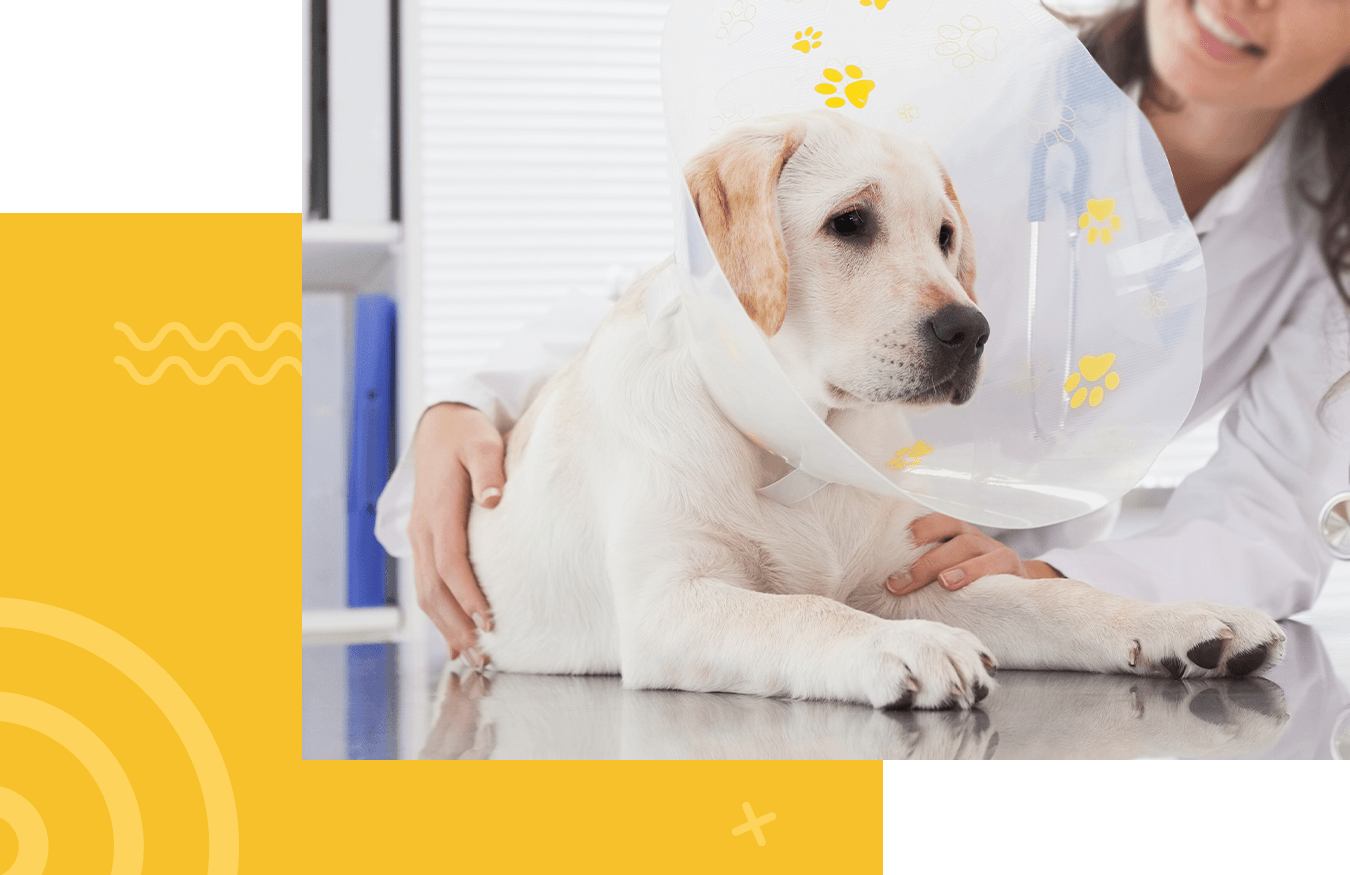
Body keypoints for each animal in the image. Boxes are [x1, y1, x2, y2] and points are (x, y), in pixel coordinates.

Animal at [467, 111, 1285, 712]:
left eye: (946, 236)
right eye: (850, 222)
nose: (971, 331)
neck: (803, 442)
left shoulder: (908, 575)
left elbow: (1055, 597)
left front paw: (1180, 620)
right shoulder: (669, 603)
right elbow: (804, 610)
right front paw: (908, 646)